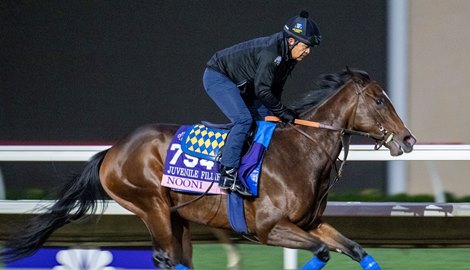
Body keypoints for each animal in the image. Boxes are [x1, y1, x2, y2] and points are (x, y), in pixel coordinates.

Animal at [1, 68, 416, 268]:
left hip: (177, 215)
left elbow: (356, 249)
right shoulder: (269, 229)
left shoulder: (310, 223)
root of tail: (111, 151)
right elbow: (321, 252)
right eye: (380, 100)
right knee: (166, 259)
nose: (408, 139)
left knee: (178, 258)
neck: (300, 152)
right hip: (151, 206)